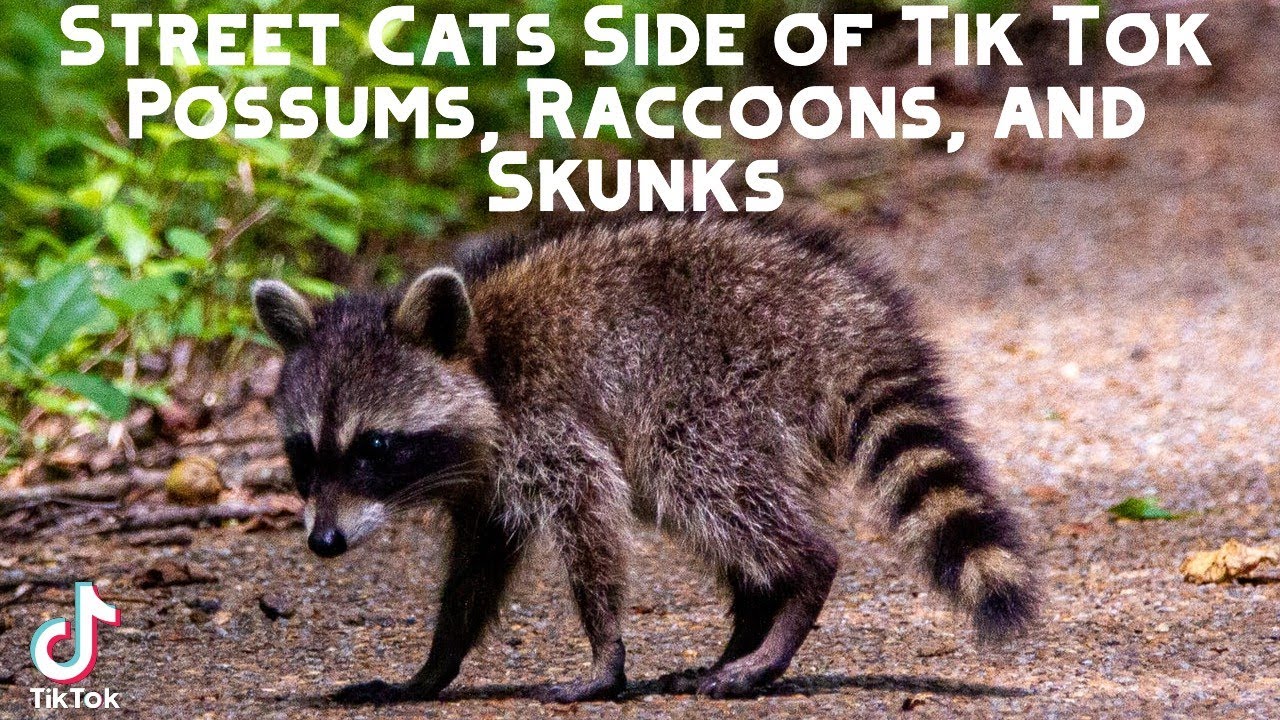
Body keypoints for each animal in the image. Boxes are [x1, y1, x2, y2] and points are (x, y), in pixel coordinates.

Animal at [252, 213, 1037, 704]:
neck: (480, 357)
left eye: (373, 448)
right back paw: (751, 619)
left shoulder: (543, 424)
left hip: (722, 384)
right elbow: (476, 568)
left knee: (700, 481)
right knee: (710, 505)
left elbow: (591, 511)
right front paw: (433, 667)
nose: (324, 542)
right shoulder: (486, 481)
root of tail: (848, 317)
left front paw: (605, 655)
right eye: (303, 453)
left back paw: (795, 590)